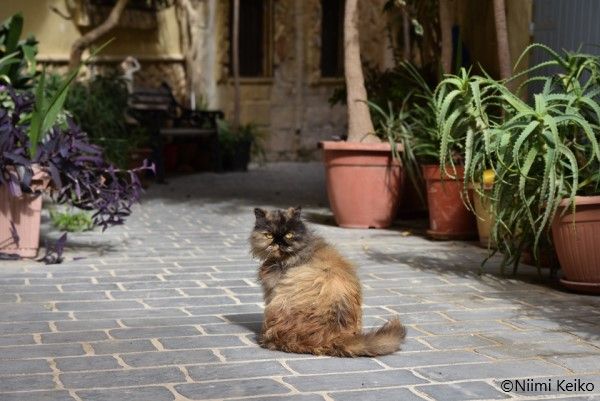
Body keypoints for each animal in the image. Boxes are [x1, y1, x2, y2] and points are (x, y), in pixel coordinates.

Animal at [246, 206, 406, 356]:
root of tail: (335, 337)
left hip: (278, 304)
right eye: (269, 235)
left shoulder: (272, 290)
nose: (278, 243)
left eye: (289, 235)